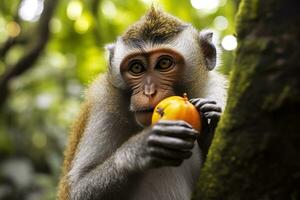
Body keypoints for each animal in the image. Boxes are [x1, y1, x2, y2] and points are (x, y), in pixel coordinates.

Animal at [57, 7, 226, 199]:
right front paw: (138, 149)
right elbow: (77, 190)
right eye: (136, 67)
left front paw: (211, 126)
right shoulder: (102, 105)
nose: (149, 92)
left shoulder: (214, 93)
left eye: (164, 63)